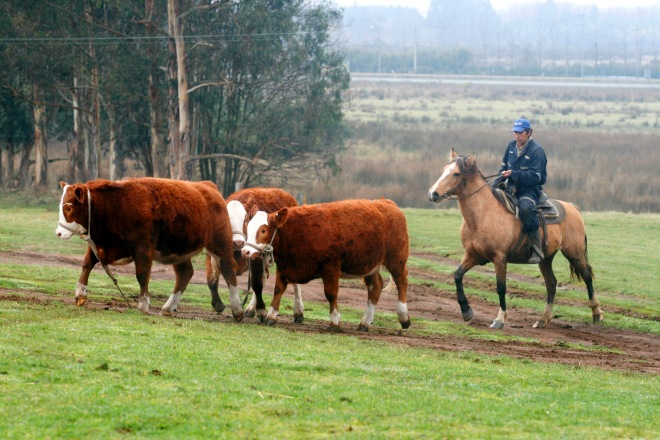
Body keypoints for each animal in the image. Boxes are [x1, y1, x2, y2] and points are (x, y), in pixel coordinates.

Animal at [55, 178, 244, 320]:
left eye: (69, 207)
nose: (58, 232)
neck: (116, 203)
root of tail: (208, 186)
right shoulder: (99, 244)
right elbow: (87, 264)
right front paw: (80, 294)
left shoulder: (143, 248)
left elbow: (142, 275)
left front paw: (143, 304)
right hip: (179, 251)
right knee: (185, 273)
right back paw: (168, 307)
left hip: (220, 243)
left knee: (228, 269)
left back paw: (237, 309)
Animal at [209, 186, 302, 324]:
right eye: (227, 219)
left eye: (245, 219)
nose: (239, 242)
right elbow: (213, 279)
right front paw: (219, 304)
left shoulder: (255, 258)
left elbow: (256, 284)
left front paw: (262, 312)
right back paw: (251, 308)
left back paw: (298, 311)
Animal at [240, 199, 410, 330]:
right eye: (249, 228)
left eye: (263, 230)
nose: (245, 251)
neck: (296, 230)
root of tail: (387, 203)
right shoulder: (285, 266)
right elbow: (278, 290)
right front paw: (271, 315)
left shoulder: (330, 266)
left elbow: (331, 294)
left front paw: (335, 321)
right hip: (370, 266)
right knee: (375, 287)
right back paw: (365, 323)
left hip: (396, 259)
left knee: (401, 282)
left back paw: (404, 317)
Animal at [428, 150, 604, 328]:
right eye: (444, 170)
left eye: (456, 173)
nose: (433, 194)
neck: (483, 215)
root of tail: (572, 208)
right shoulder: (472, 255)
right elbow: (457, 276)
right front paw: (466, 311)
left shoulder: (500, 258)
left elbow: (501, 287)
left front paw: (500, 319)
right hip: (546, 259)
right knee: (551, 284)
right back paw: (543, 319)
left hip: (574, 252)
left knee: (587, 275)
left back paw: (596, 313)